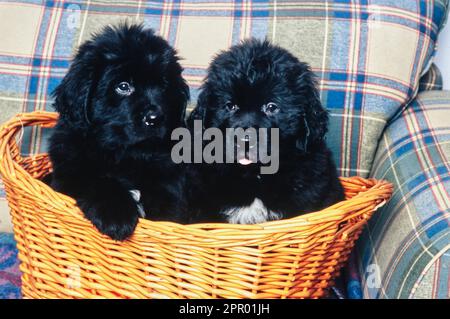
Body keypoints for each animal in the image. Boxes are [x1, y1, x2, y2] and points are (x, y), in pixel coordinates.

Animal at [48, 24, 190, 240]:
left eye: (164, 86)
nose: (155, 118)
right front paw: (116, 217)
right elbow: (99, 181)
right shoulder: (71, 173)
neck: (127, 155)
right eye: (123, 86)